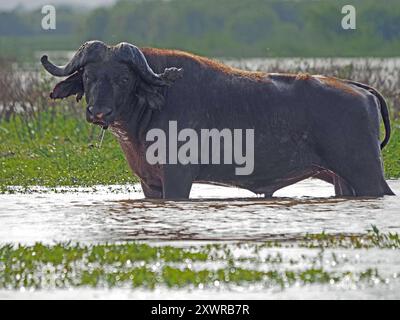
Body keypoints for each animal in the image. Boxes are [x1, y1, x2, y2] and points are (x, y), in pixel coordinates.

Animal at [40, 40, 394, 198]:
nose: (99, 111)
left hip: (367, 175)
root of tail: (358, 89)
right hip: (343, 181)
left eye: (124, 79)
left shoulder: (177, 179)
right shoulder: (149, 183)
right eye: (88, 77)